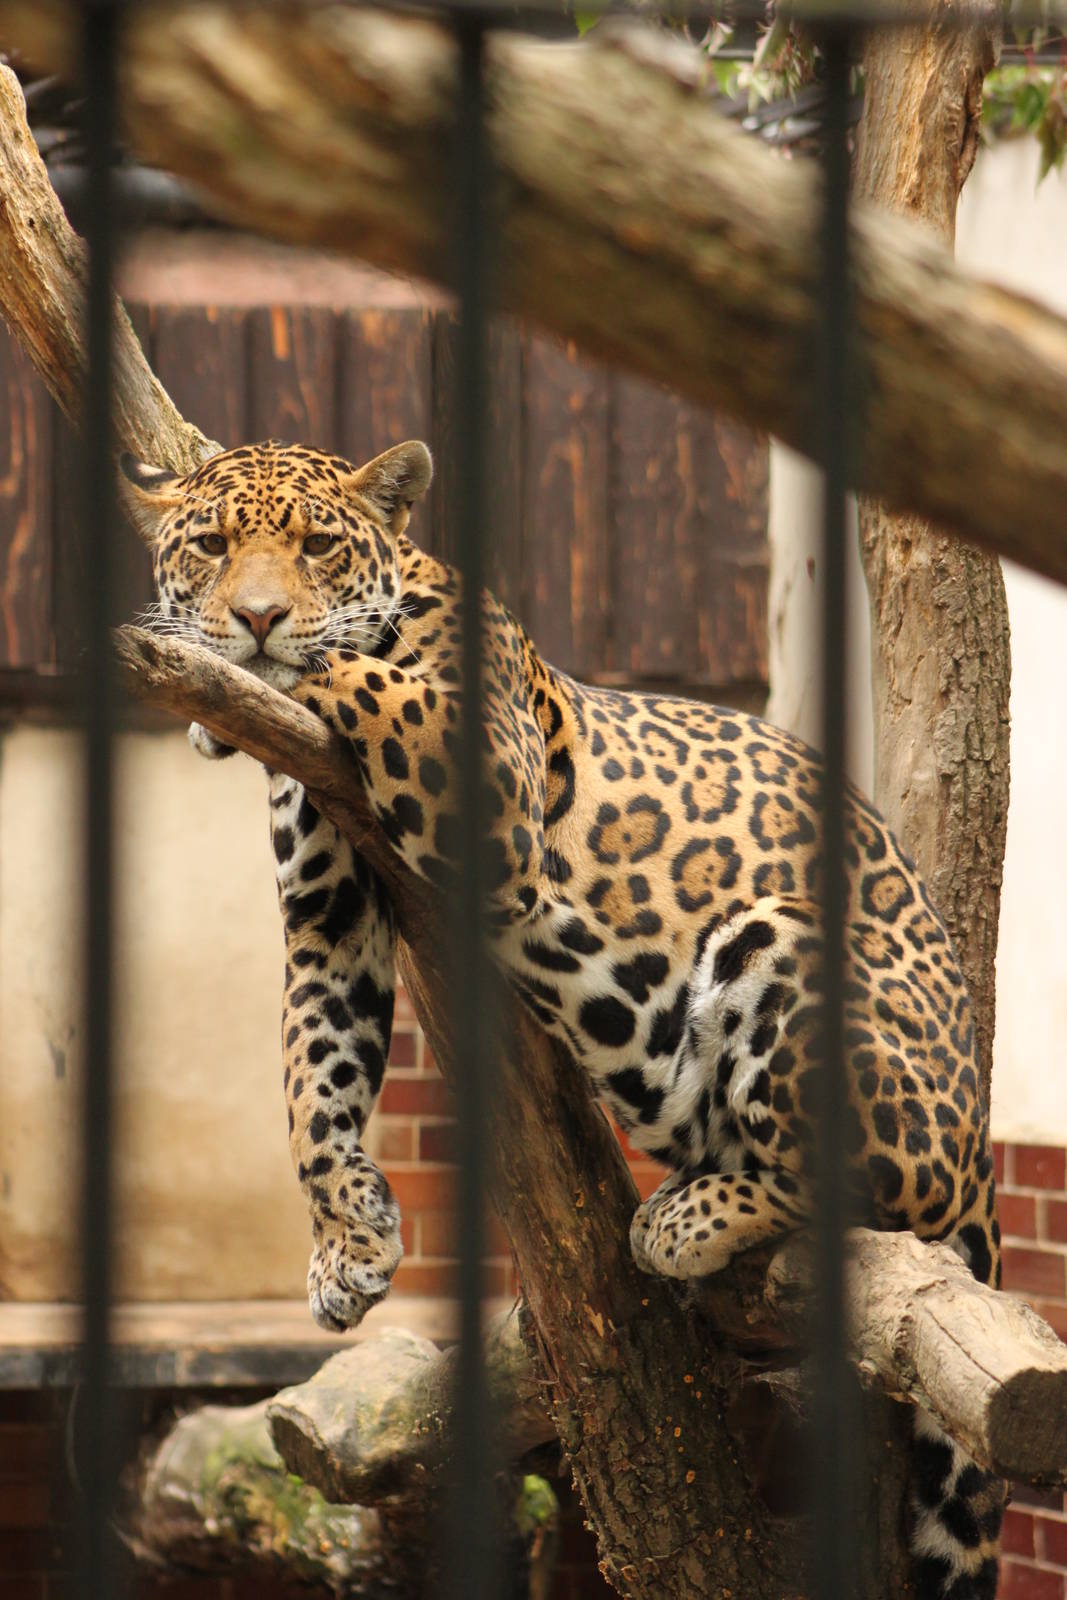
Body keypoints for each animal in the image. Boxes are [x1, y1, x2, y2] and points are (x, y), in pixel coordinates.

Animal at [123, 436, 1004, 1600]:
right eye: (212, 545)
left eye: (315, 545)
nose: (257, 615)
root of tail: (983, 1132)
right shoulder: (328, 914)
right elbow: (313, 1088)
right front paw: (348, 1245)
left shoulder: (492, 790)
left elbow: (350, 671)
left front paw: (262, 672)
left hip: (783, 940)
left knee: (893, 1187)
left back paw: (683, 1218)